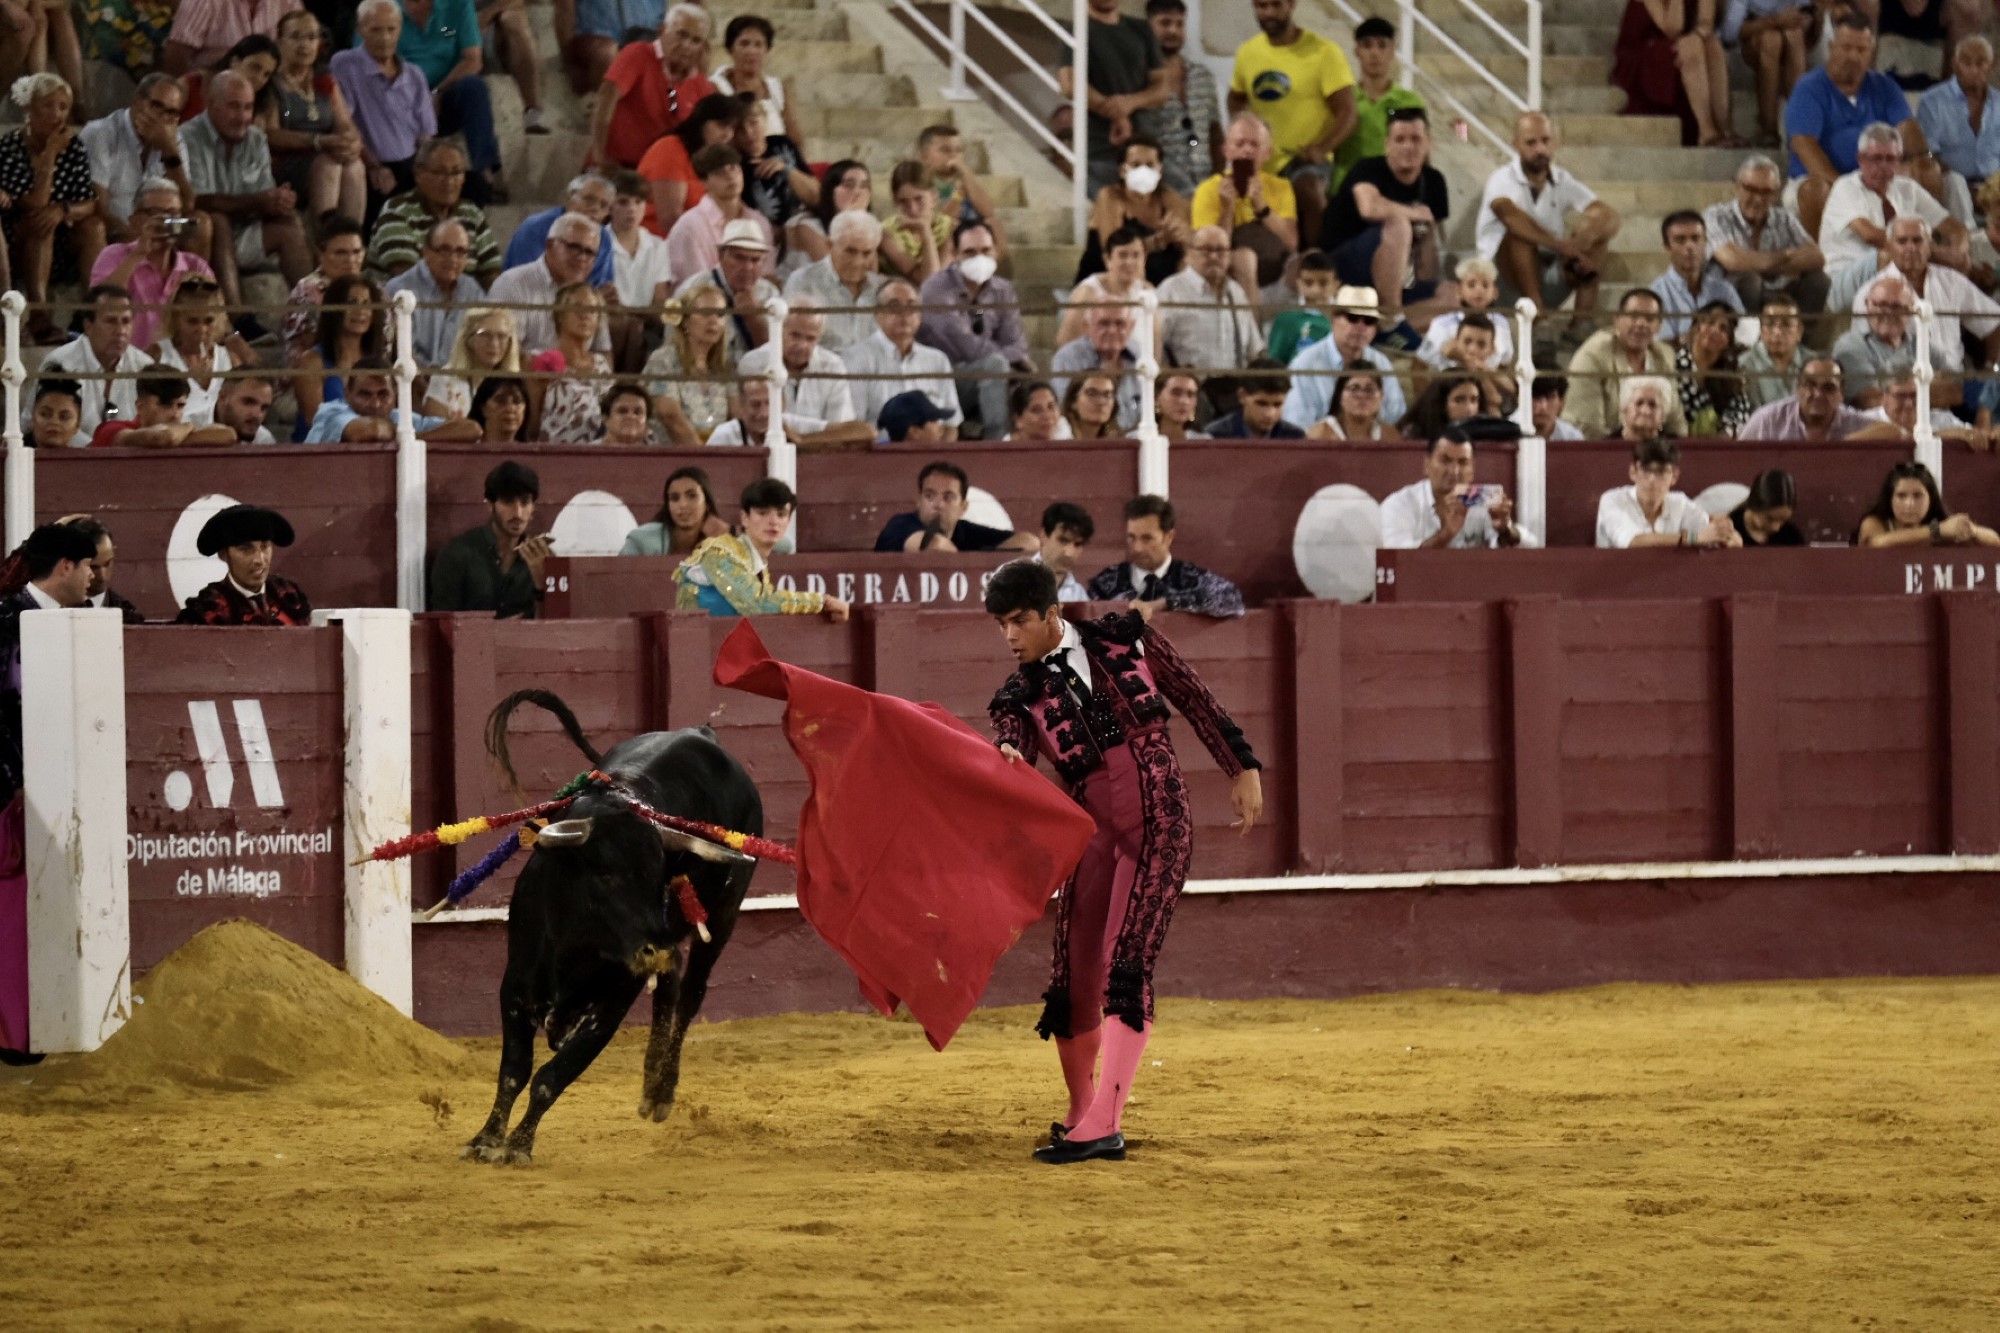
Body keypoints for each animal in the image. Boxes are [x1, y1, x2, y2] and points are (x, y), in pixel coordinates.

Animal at [464, 688, 760, 1160]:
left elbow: (553, 1076)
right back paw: (651, 1086)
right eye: (604, 873)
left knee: (689, 993)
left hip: (723, 916)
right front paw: (487, 1139)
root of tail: (704, 733)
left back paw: (662, 1092)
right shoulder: (516, 985)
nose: (653, 947)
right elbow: (514, 1070)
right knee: (672, 981)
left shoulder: (613, 1002)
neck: (576, 948)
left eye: (660, 873)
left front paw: (519, 1145)